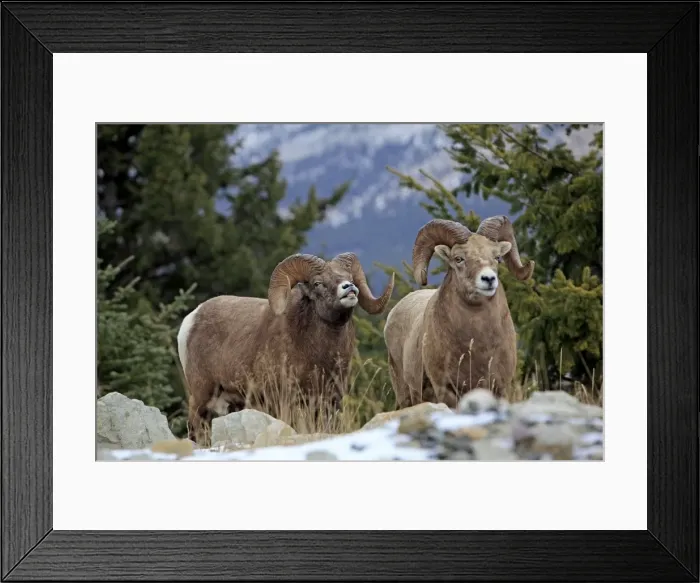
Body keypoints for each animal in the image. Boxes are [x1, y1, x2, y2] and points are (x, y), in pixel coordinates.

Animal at [177, 252, 395, 444]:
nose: (349, 288)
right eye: (317, 283)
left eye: (349, 277)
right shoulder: (285, 399)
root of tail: (191, 320)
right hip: (201, 396)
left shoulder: (330, 400)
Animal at [383, 216, 534, 409]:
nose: (488, 279)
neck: (477, 344)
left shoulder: (499, 388)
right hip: (405, 394)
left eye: (497, 257)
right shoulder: (446, 390)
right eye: (459, 259)